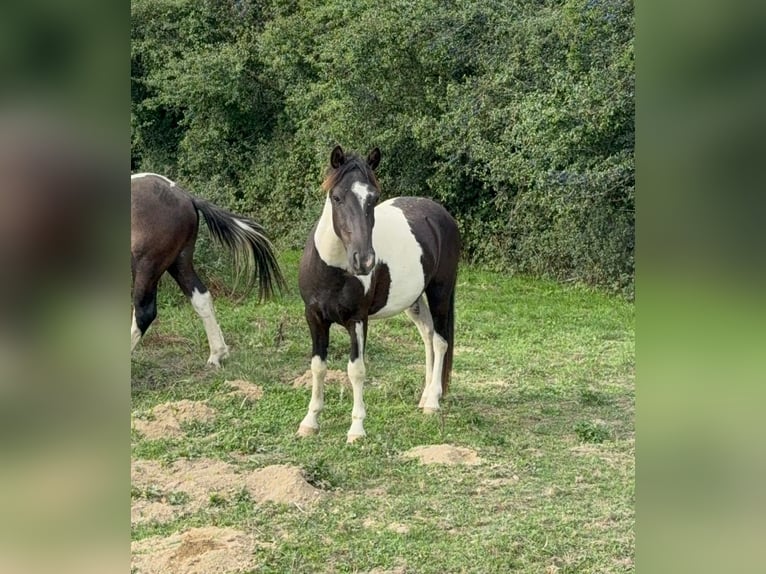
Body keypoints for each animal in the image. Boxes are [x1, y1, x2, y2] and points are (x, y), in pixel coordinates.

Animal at [131, 173, 286, 366]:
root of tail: (186, 197)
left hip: (148, 266)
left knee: (144, 311)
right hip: (178, 263)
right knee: (201, 298)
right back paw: (217, 354)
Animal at [297, 146, 460, 442]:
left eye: (373, 198)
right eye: (337, 197)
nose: (364, 261)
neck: (333, 269)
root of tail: (441, 214)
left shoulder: (358, 320)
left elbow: (356, 370)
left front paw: (357, 429)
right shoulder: (314, 318)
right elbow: (318, 367)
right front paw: (310, 422)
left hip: (440, 293)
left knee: (441, 341)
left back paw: (433, 401)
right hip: (414, 300)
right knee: (428, 336)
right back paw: (425, 395)